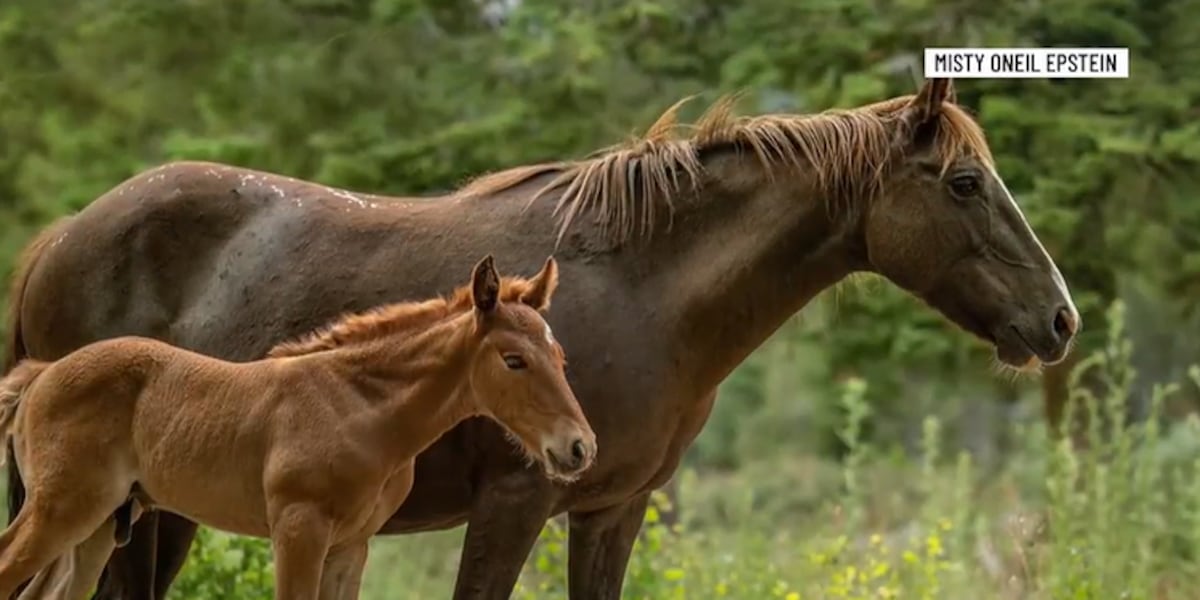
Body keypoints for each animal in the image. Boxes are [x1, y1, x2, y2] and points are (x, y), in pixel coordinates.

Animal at [0, 255, 594, 600]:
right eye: (514, 360)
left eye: (561, 356)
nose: (579, 448)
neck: (358, 406)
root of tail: (41, 375)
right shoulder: (298, 529)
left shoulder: (351, 546)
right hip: (59, 511)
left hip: (98, 526)